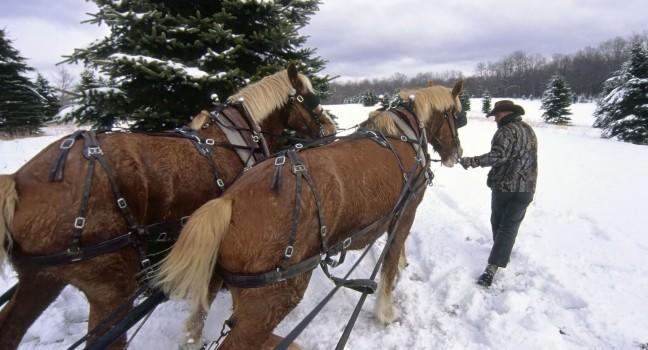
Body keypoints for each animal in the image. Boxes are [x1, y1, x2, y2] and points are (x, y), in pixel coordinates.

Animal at [0, 64, 334, 348]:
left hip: (40, 279)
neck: (236, 137)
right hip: (110, 285)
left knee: (11, 328)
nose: (331, 128)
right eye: (310, 98)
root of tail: (18, 181)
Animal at [154, 80, 464, 348]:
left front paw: (402, 263)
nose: (457, 153)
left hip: (222, 283)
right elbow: (390, 259)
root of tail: (228, 200)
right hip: (273, 296)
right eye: (456, 115)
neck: (403, 135)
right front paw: (386, 310)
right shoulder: (408, 208)